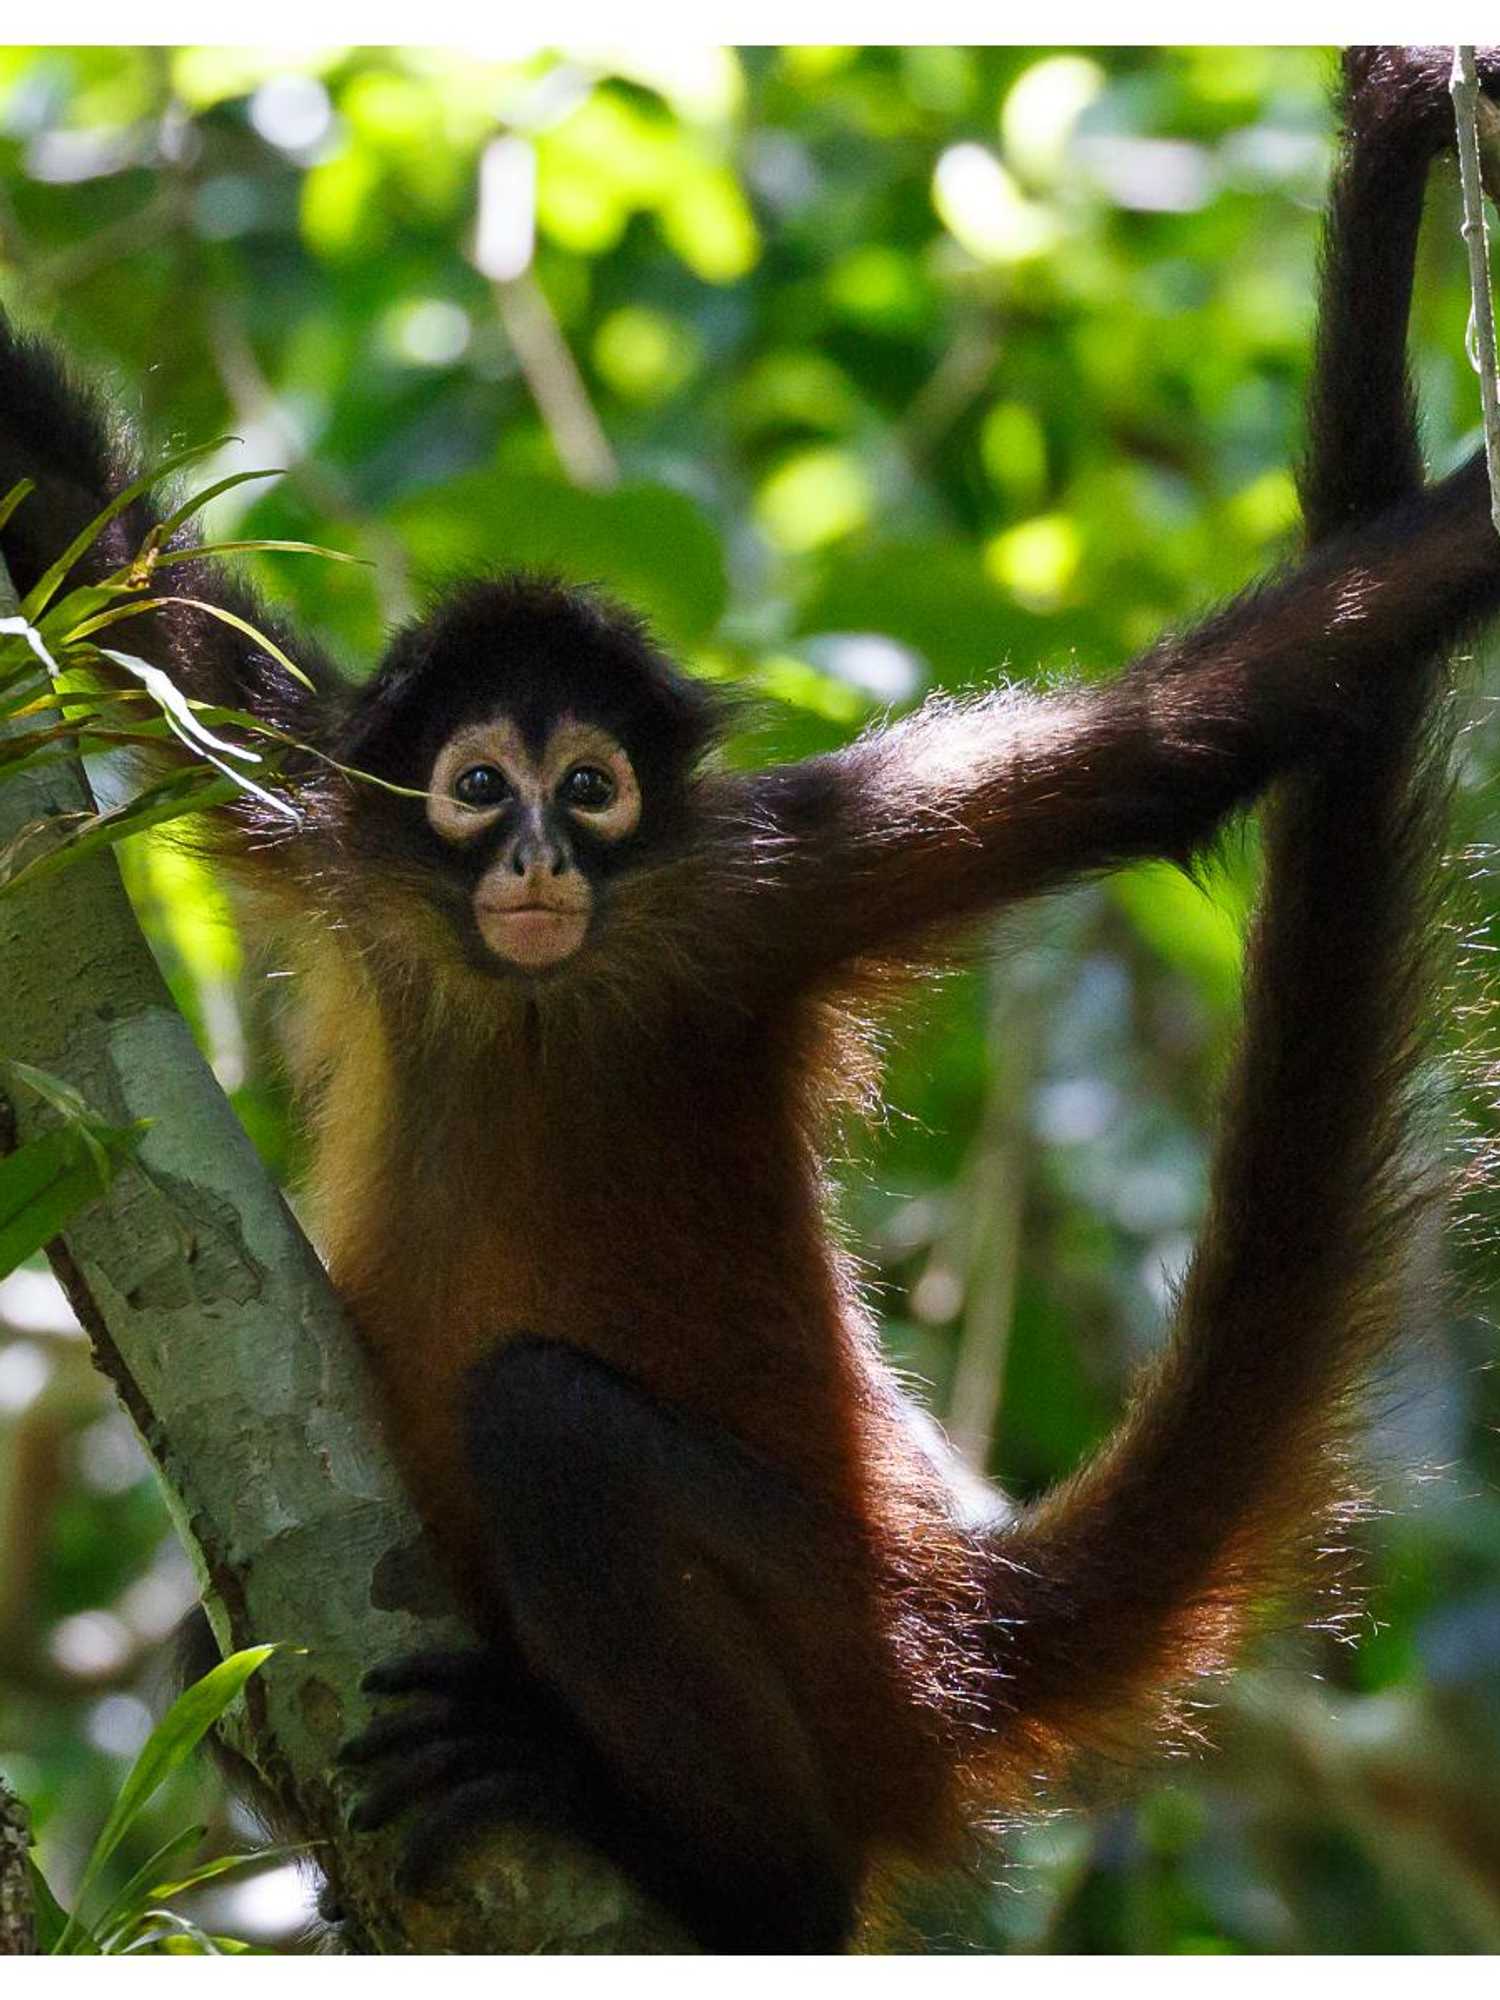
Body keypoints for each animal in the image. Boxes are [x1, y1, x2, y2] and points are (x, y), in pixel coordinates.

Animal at [1, 45, 1497, 1954]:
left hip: (819, 1623)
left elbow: (1193, 737)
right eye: (481, 787)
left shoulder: (774, 876)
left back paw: (727, 1871)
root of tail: (949, 1621)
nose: (538, 858)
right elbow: (86, 550)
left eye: (592, 787)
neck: (537, 993)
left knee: (548, 1427)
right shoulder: (337, 810)